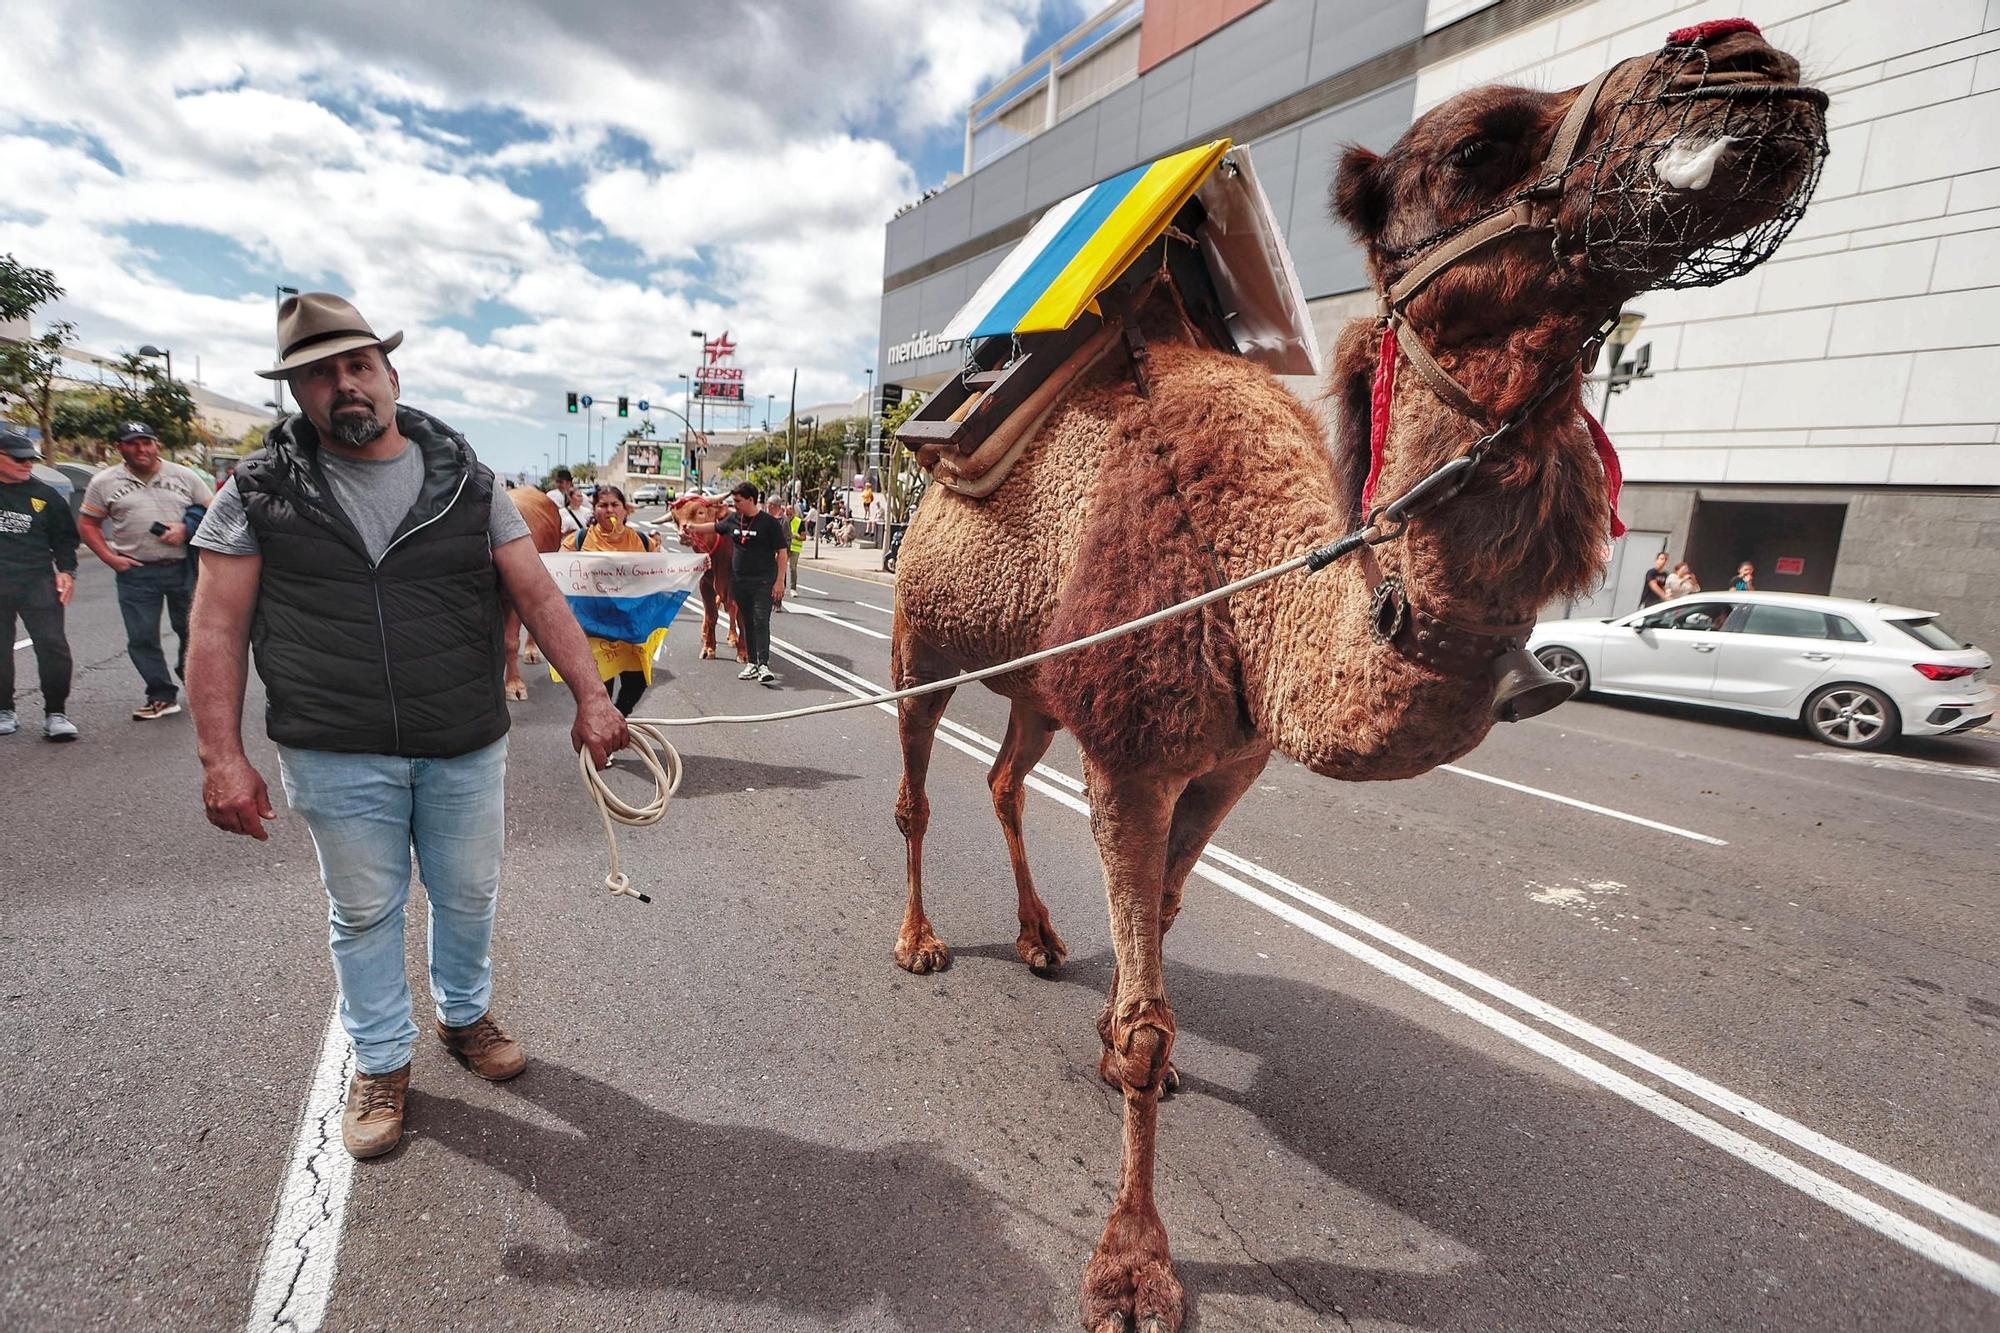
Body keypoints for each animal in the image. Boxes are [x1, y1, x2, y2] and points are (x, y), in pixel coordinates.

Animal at [668, 492, 748, 660]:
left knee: (732, 611)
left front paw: (743, 652)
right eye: (675, 518)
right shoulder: (705, 584)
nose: (683, 534)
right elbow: (712, 614)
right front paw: (709, 648)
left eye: (700, 512)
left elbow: (740, 617)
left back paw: (734, 638)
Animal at [884, 20, 1824, 1328]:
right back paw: (920, 942)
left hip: (1033, 681)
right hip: (920, 636)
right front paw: (1132, 1266)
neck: (1256, 587)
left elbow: (1159, 924)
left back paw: (1032, 938)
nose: (1739, 57)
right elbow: (1149, 1018)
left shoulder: (1225, 761)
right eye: (1475, 147)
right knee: (918, 787)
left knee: (1004, 779)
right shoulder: (1133, 756)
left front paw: (1112, 1034)